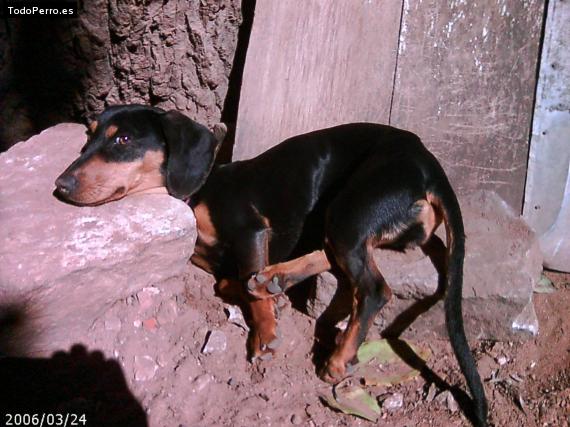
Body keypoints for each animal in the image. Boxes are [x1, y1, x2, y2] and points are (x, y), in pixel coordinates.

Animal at [55, 104, 486, 427]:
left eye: (123, 140)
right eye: (88, 137)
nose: (61, 185)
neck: (199, 192)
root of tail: (428, 164)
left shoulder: (250, 229)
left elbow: (246, 283)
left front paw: (264, 335)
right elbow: (229, 280)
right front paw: (254, 290)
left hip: (349, 208)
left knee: (373, 288)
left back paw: (337, 356)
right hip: (340, 217)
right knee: (330, 254)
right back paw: (276, 278)